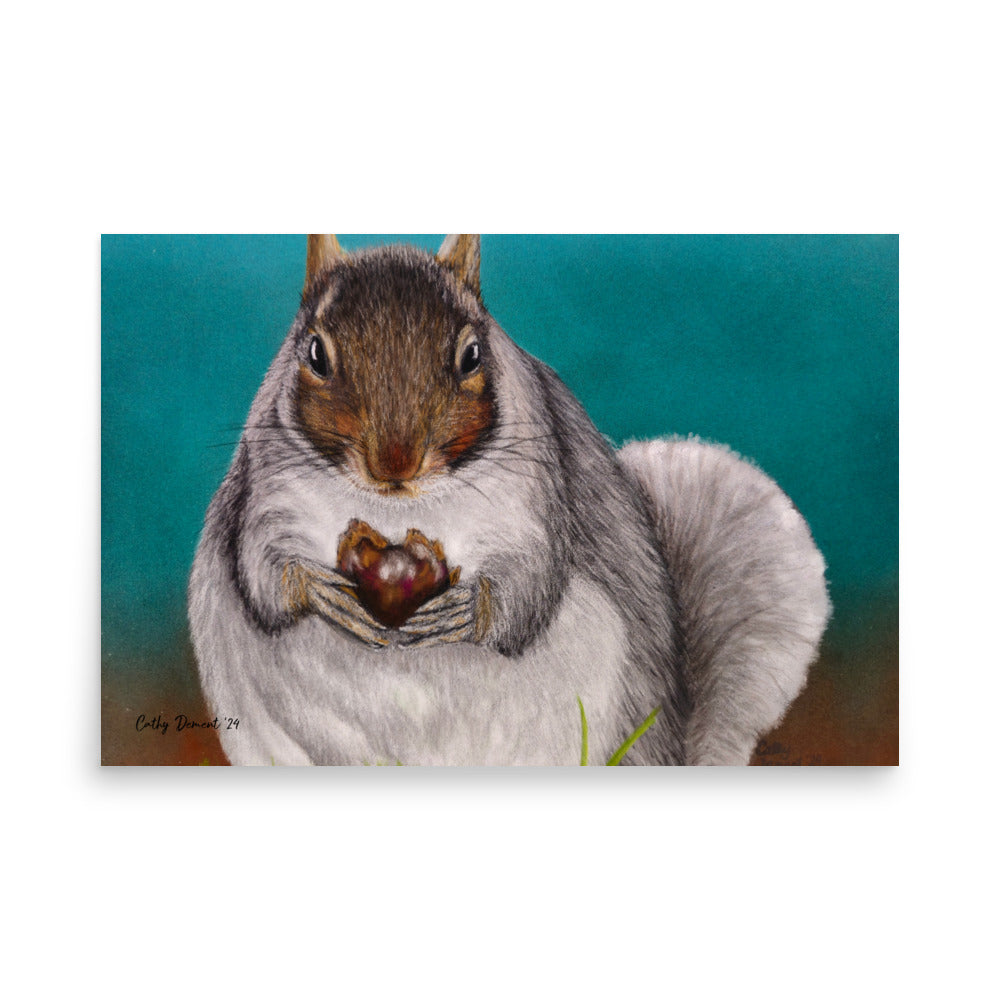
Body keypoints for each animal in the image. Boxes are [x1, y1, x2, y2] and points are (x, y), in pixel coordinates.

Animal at [188, 234, 831, 765]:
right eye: (315, 354)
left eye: (472, 354)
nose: (395, 464)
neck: (399, 509)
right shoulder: (268, 493)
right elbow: (262, 572)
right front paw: (320, 590)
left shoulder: (538, 498)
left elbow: (533, 582)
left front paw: (468, 609)